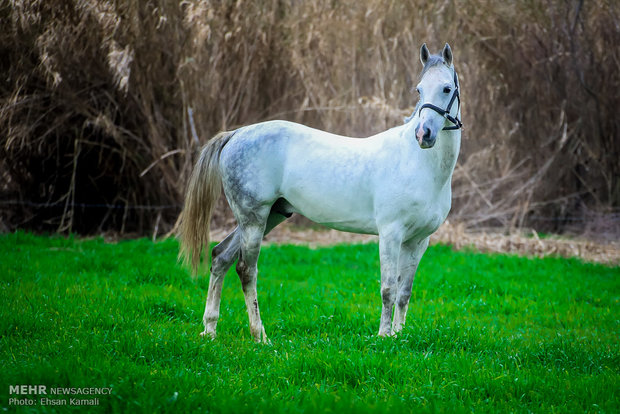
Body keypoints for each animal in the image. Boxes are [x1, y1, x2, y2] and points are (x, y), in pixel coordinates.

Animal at [179, 42, 460, 342]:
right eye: (419, 90)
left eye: (446, 88)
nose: (423, 134)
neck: (417, 163)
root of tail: (235, 134)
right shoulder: (390, 234)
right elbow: (388, 289)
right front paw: (384, 336)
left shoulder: (418, 241)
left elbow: (404, 292)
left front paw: (398, 335)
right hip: (253, 218)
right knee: (246, 269)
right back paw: (260, 336)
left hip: (267, 217)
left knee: (221, 256)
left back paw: (209, 329)